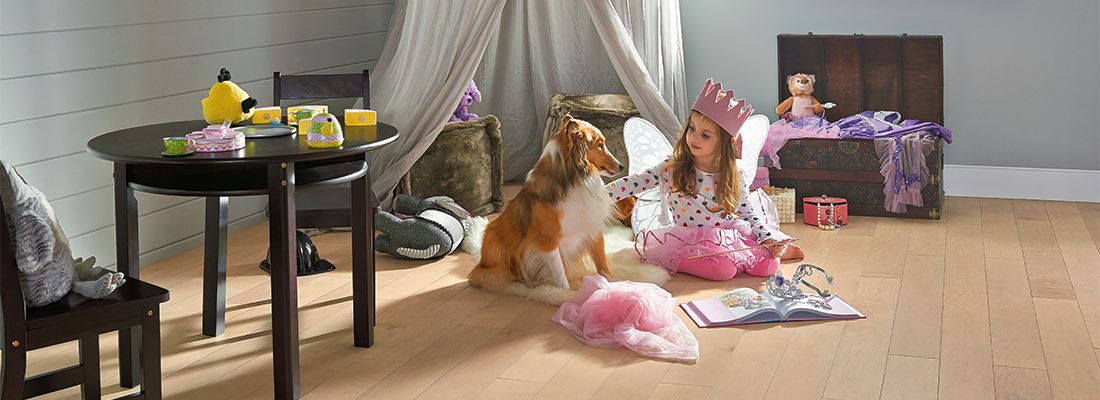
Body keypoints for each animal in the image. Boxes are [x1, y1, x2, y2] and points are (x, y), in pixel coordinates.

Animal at [468, 114, 624, 287]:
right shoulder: (548, 241)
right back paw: (527, 283)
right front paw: (566, 292)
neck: (575, 181)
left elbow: (601, 261)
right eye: (600, 145)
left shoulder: (592, 226)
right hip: (496, 238)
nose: (622, 166)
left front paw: (613, 282)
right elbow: (560, 274)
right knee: (511, 273)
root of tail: (482, 261)